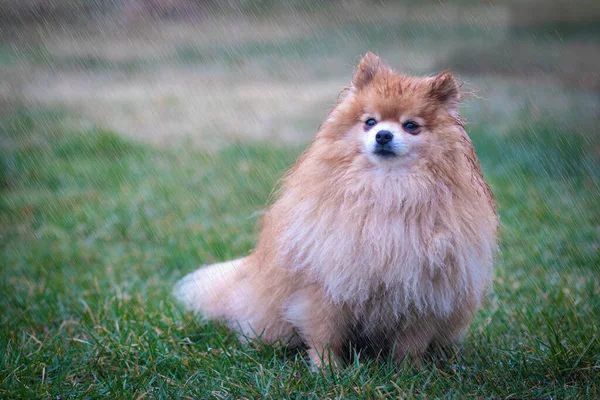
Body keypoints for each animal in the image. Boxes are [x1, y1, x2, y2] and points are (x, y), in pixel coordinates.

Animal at [176, 52, 500, 368]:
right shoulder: (326, 286)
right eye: (370, 122)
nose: (383, 135)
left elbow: (411, 344)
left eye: (411, 125)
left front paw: (410, 372)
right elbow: (325, 335)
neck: (388, 187)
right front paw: (327, 370)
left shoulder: (423, 292)